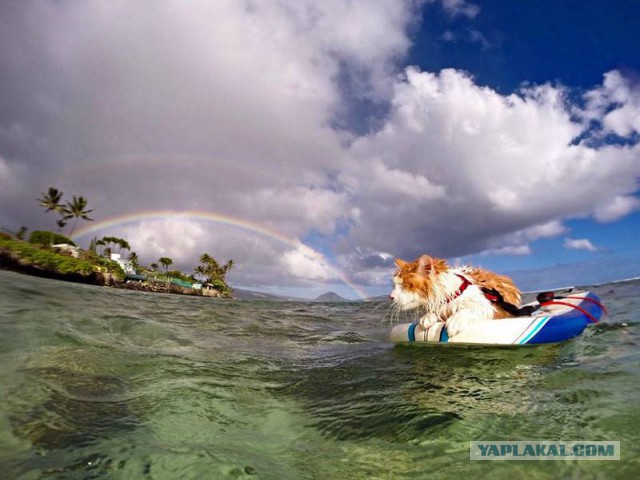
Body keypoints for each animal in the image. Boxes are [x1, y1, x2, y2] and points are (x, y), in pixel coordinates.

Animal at [390, 255, 520, 338]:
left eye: (404, 285)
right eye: (394, 285)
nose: (390, 297)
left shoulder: (486, 306)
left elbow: (467, 310)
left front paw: (455, 321)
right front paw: (427, 317)